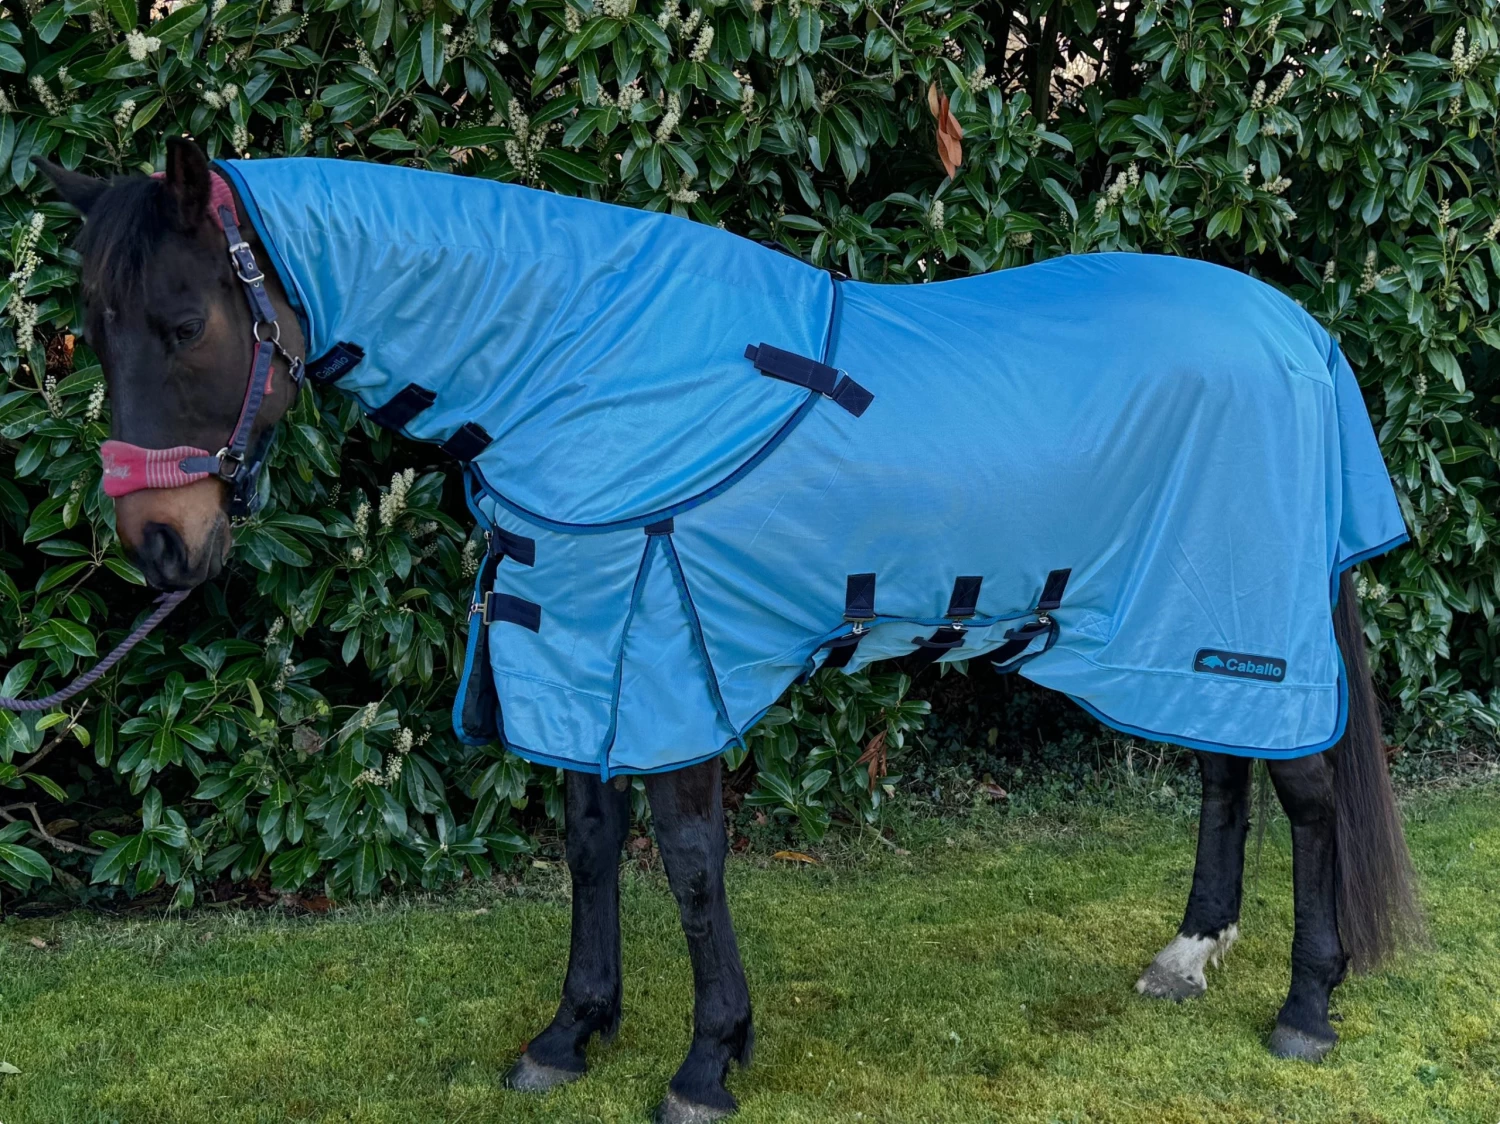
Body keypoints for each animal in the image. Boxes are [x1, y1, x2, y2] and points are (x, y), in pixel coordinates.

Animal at [35, 140, 1422, 1122]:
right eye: (92, 329)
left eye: (184, 322)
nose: (158, 542)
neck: (589, 368)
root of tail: (1298, 330)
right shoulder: (576, 637)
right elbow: (592, 845)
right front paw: (571, 1033)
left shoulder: (664, 641)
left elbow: (692, 859)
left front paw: (706, 1061)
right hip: (1174, 621)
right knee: (1227, 769)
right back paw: (1189, 952)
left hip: (1240, 615)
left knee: (1303, 791)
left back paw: (1306, 1003)